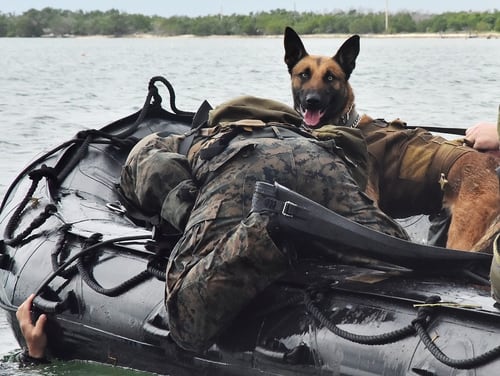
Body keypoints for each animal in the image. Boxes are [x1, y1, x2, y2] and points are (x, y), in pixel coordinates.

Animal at [284, 27, 498, 253]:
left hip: (462, 238)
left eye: (330, 77)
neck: (348, 124)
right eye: (304, 74)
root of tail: (494, 166)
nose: (312, 101)